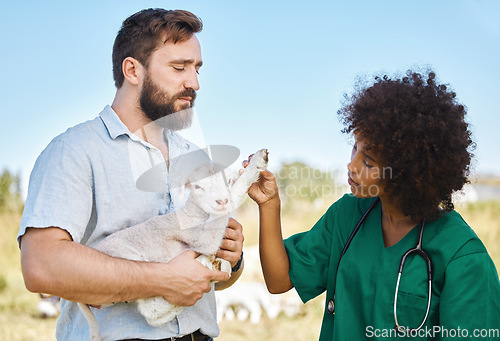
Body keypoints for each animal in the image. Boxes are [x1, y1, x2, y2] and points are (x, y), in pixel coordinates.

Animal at [77, 148, 270, 340]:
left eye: (227, 181)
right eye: (198, 187)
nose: (222, 201)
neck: (196, 212)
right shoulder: (201, 238)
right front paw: (257, 162)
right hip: (131, 268)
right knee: (151, 311)